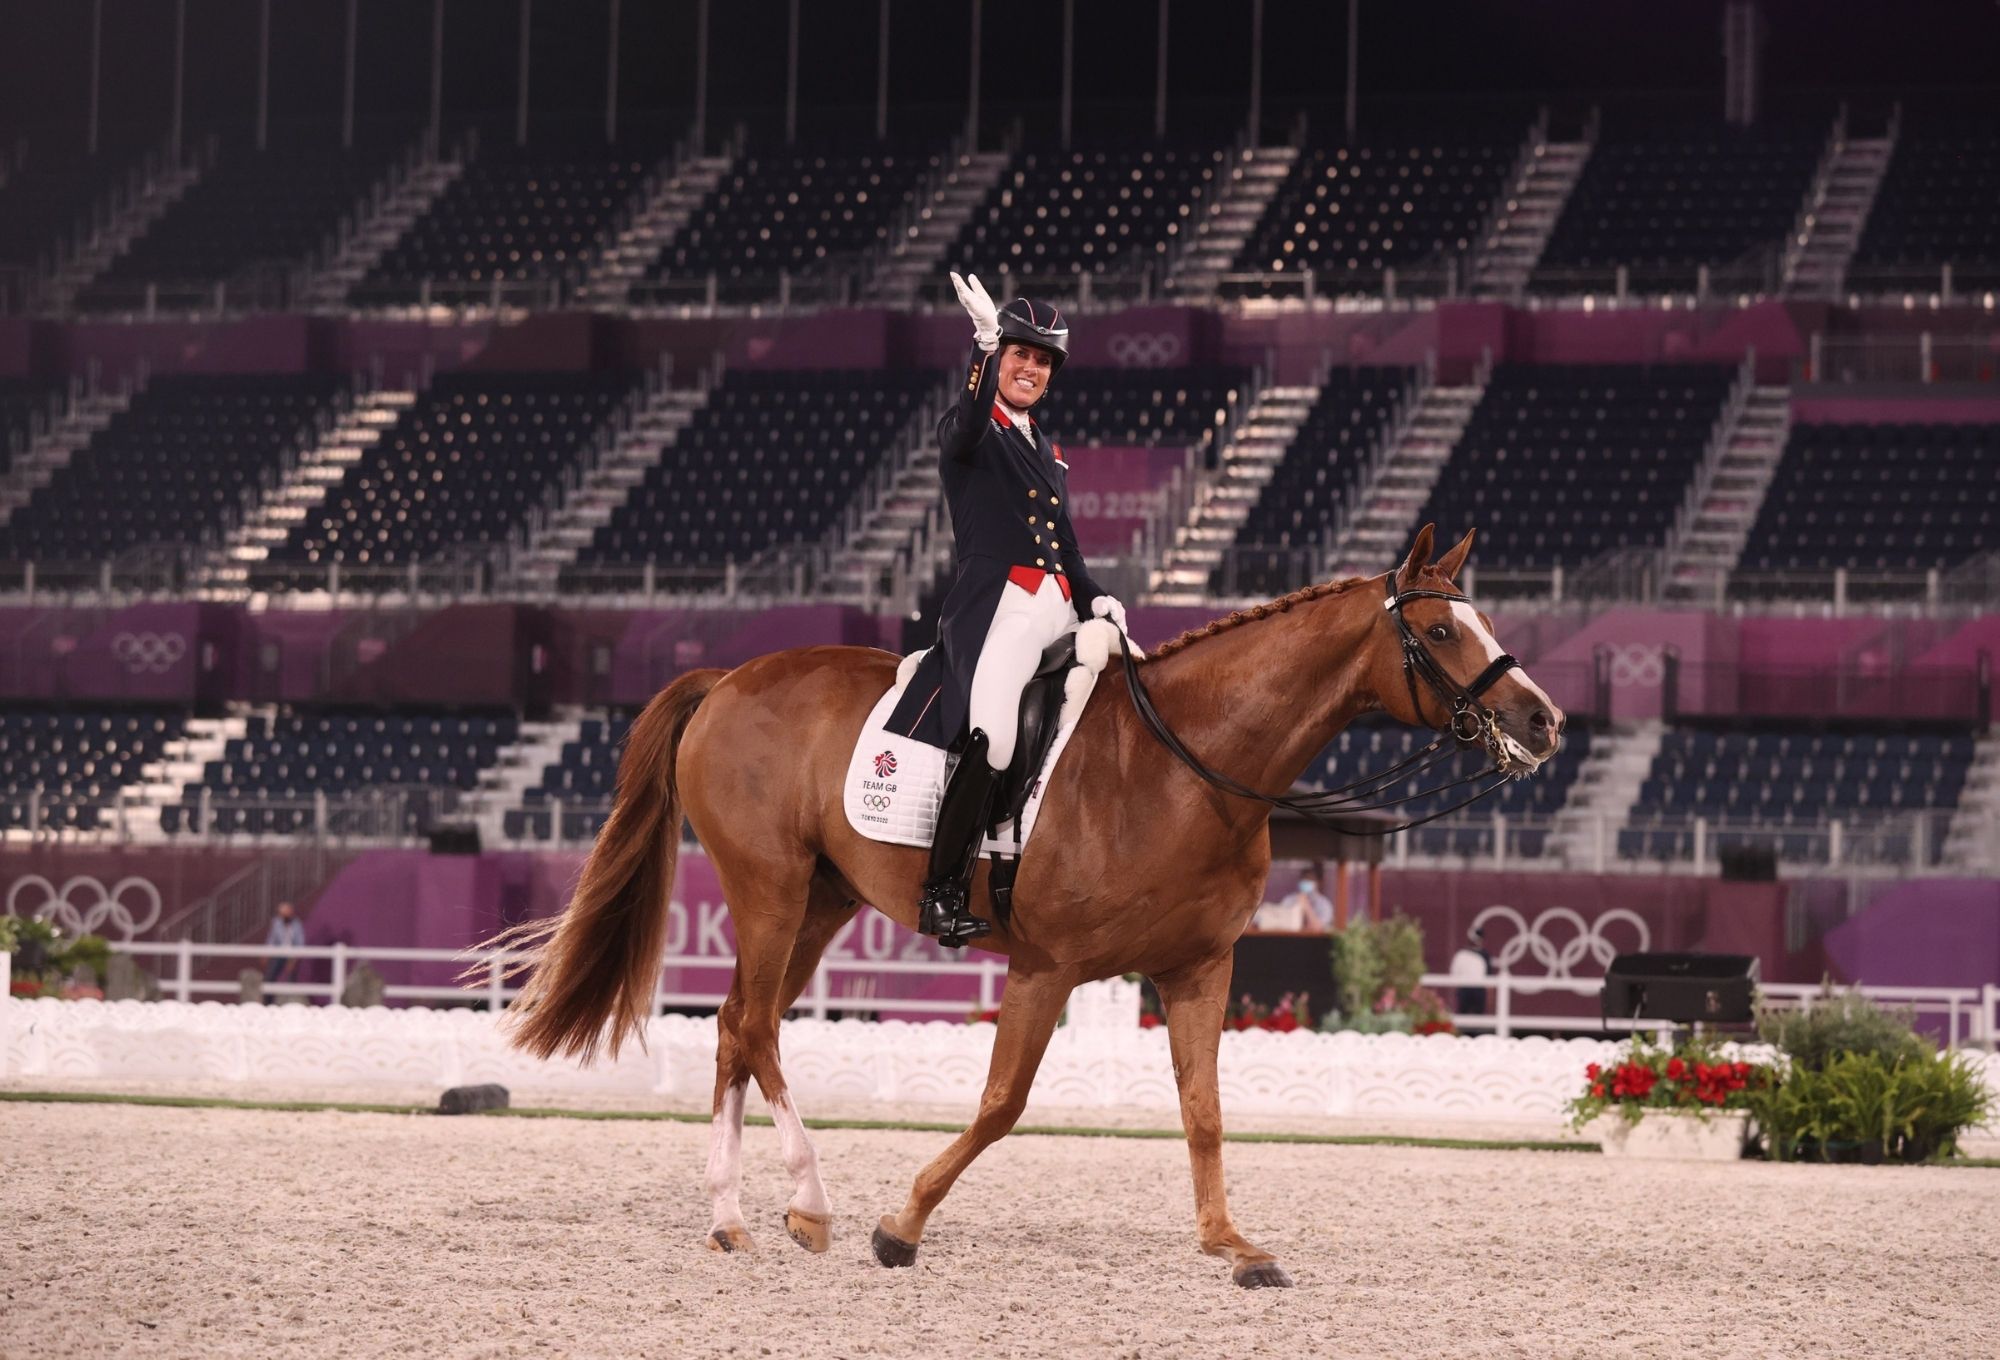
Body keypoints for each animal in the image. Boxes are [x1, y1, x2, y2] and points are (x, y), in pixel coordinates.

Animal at [496, 524, 1560, 1288]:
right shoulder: (1047, 967)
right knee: (755, 1026)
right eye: (1439, 631)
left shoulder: (1199, 968)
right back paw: (813, 1205)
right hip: (768, 885)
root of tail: (727, 680)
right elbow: (1003, 1104)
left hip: (819, 902)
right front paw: (900, 1226)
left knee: (733, 1025)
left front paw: (1231, 1245)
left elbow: (1205, 1110)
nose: (1542, 720)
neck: (1185, 767)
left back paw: (730, 1219)